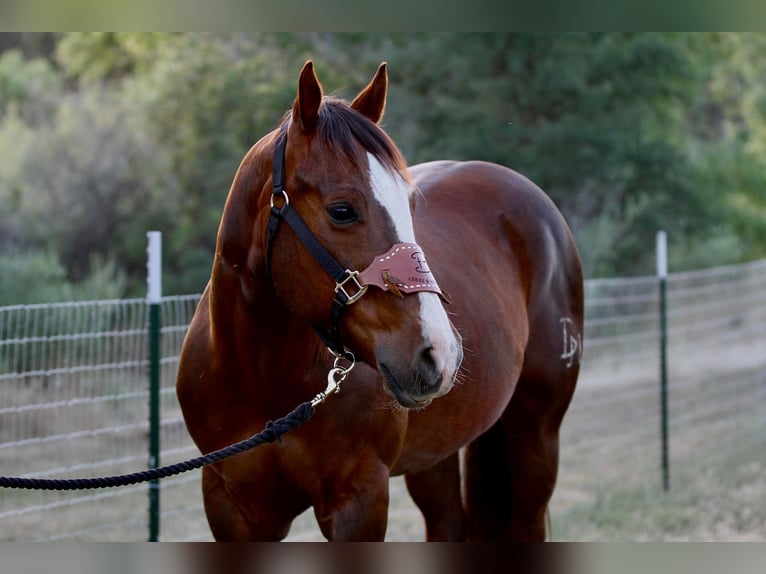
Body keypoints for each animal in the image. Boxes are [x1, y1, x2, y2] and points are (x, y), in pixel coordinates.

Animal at [176, 63, 584, 544]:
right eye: (341, 211)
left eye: (411, 205)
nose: (439, 353)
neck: (264, 380)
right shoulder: (231, 507)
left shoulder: (359, 500)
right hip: (436, 453)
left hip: (536, 436)